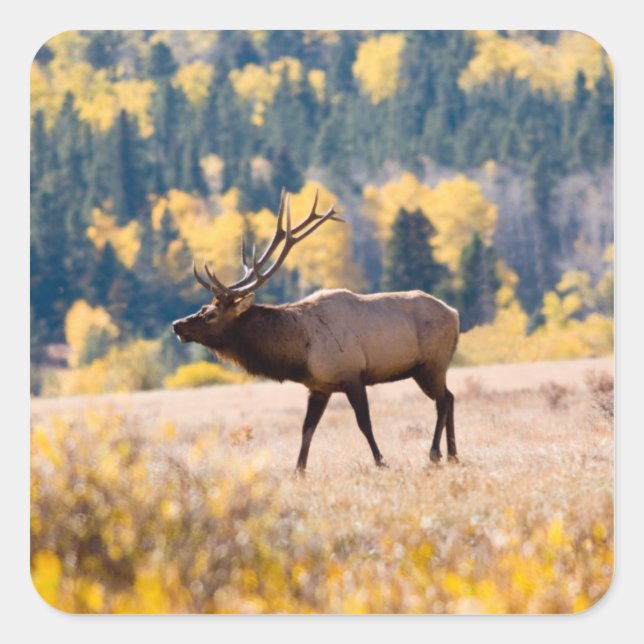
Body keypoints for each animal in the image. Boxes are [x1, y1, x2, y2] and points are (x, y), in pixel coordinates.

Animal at [172, 190, 460, 473]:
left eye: (211, 314)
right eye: (202, 307)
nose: (177, 325)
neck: (300, 352)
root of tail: (455, 314)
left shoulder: (352, 374)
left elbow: (364, 422)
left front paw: (381, 461)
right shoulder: (319, 387)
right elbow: (307, 429)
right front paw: (298, 470)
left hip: (432, 363)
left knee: (442, 401)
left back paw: (435, 453)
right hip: (425, 369)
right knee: (450, 396)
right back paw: (453, 455)